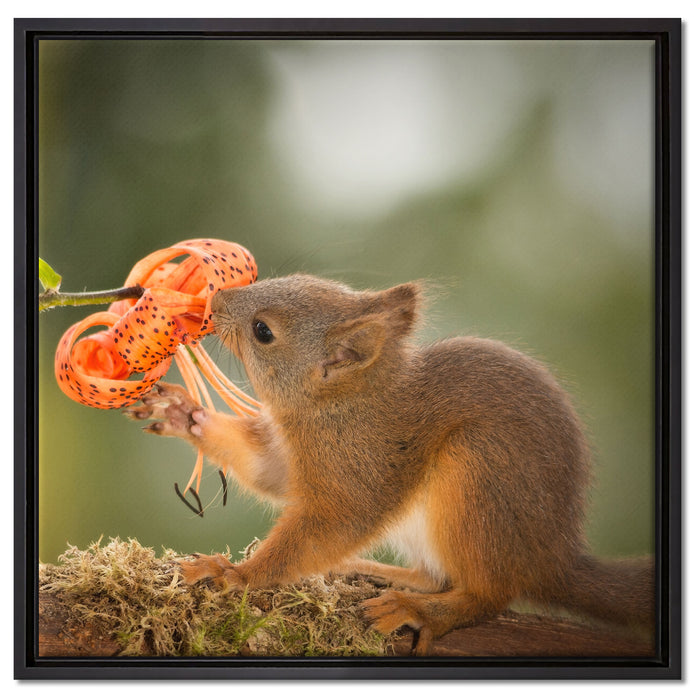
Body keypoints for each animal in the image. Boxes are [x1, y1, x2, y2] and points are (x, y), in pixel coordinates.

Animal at [129, 274, 655, 654]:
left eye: (263, 331)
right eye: (290, 277)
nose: (214, 300)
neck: (341, 405)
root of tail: (552, 560)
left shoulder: (361, 466)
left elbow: (328, 526)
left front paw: (235, 576)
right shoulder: (294, 459)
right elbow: (268, 473)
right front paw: (183, 414)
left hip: (478, 479)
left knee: (487, 593)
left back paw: (421, 611)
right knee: (435, 576)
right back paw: (373, 571)